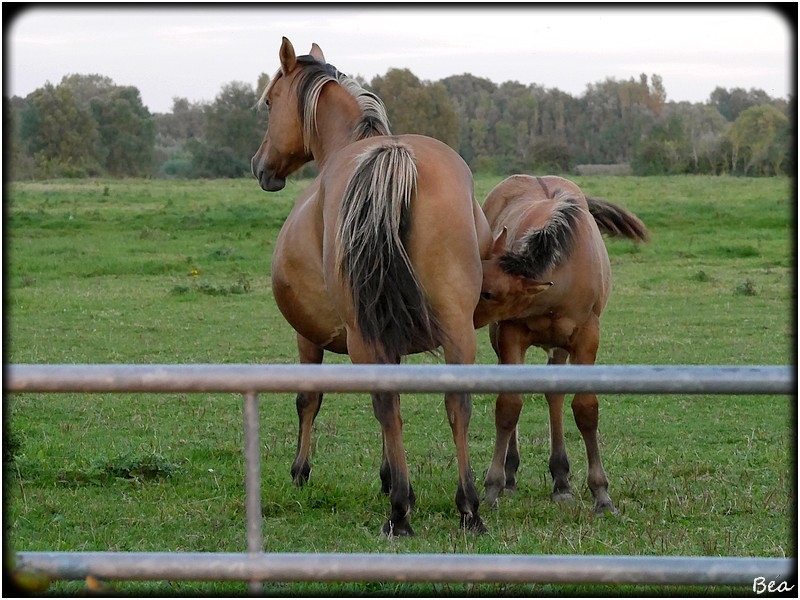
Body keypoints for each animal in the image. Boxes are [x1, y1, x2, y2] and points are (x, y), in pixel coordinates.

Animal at [250, 37, 490, 536]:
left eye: (269, 102)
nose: (260, 166)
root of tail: (396, 158)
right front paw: (390, 476)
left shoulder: (308, 336)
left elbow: (309, 399)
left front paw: (301, 471)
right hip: (456, 328)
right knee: (456, 404)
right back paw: (468, 507)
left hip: (364, 331)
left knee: (385, 402)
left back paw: (399, 513)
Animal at [472, 173, 648, 510]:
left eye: (488, 293)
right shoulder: (510, 332)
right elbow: (508, 406)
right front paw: (493, 485)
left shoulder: (586, 337)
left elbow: (585, 409)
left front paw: (601, 493)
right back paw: (512, 474)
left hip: (559, 346)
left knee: (555, 395)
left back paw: (561, 478)